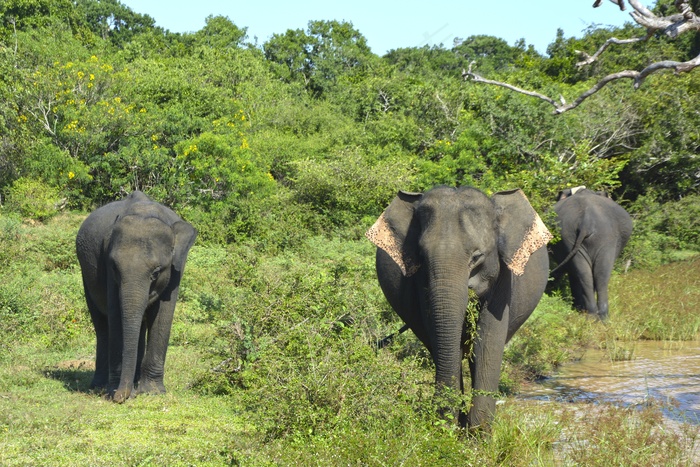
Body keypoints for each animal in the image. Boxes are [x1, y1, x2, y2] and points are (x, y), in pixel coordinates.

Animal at [76, 190, 197, 402]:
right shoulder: (107, 264)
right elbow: (116, 315)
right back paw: (100, 386)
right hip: (85, 275)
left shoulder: (176, 268)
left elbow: (163, 315)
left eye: (156, 272)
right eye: (115, 268)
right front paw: (116, 391)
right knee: (102, 326)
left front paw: (153, 392)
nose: (120, 397)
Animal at [366, 186, 552, 432]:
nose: (441, 415)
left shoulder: (503, 282)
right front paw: (453, 427)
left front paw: (479, 434)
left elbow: (487, 342)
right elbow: (439, 335)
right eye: (422, 256)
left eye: (477, 257)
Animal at [552, 186, 636, 322]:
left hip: (577, 236)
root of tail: (586, 221)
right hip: (593, 237)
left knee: (593, 274)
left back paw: (596, 316)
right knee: (596, 274)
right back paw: (597, 316)